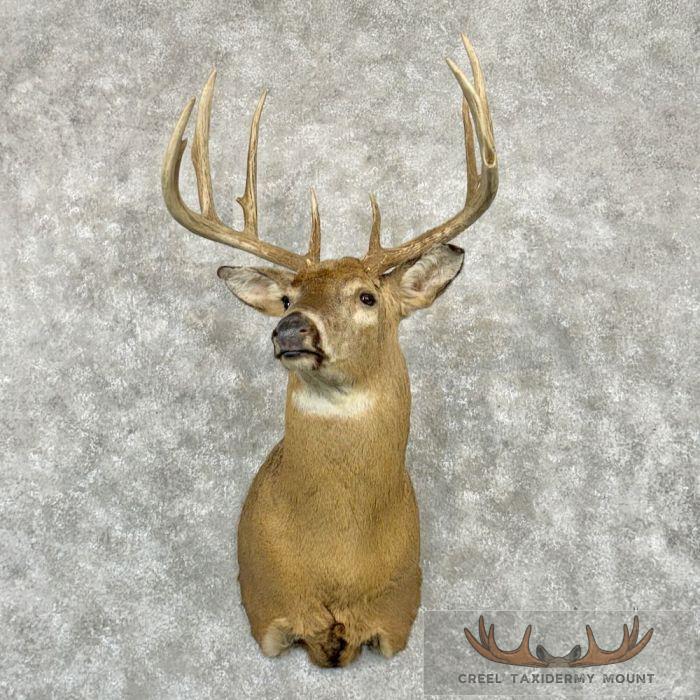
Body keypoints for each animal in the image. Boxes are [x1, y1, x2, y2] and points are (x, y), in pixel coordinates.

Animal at [161, 34, 497, 668]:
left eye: (367, 296)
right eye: (289, 295)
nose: (290, 330)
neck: (336, 567)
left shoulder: (397, 613)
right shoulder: (267, 610)